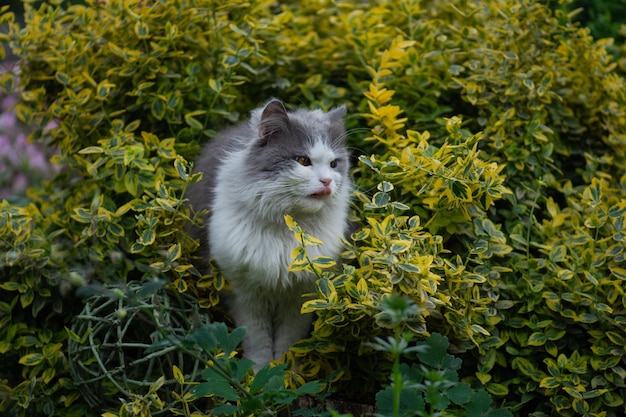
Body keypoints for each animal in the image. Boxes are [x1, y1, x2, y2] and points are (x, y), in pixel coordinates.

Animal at [185, 98, 352, 368]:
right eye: (303, 160)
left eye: (334, 164)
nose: (327, 181)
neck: (287, 225)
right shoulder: (244, 294)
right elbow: (258, 341)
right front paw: (259, 372)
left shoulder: (299, 296)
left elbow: (288, 342)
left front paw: (286, 371)